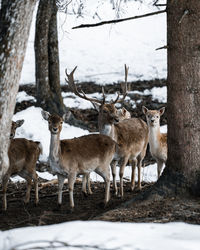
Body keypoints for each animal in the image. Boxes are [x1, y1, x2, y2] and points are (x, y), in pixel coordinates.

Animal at [65, 65, 148, 198]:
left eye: (114, 109)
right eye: (104, 110)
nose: (117, 119)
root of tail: (141, 120)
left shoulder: (126, 153)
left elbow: (121, 173)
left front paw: (121, 194)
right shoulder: (113, 159)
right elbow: (113, 174)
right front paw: (115, 191)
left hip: (144, 147)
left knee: (140, 163)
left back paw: (139, 186)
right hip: (134, 153)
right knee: (135, 163)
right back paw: (132, 186)